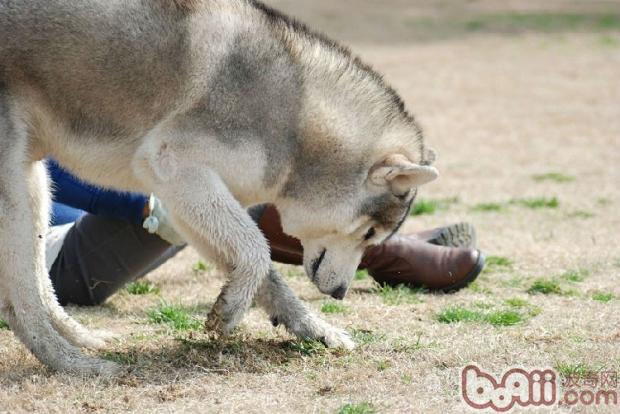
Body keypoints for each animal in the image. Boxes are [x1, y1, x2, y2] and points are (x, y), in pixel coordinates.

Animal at [0, 0, 438, 376]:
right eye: (369, 233)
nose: (341, 293)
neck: (295, 119)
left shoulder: (182, 202)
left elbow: (261, 270)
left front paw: (314, 329)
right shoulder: (175, 165)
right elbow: (258, 249)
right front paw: (230, 314)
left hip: (38, 188)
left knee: (35, 287)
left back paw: (81, 339)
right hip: (16, 197)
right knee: (20, 303)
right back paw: (72, 363)